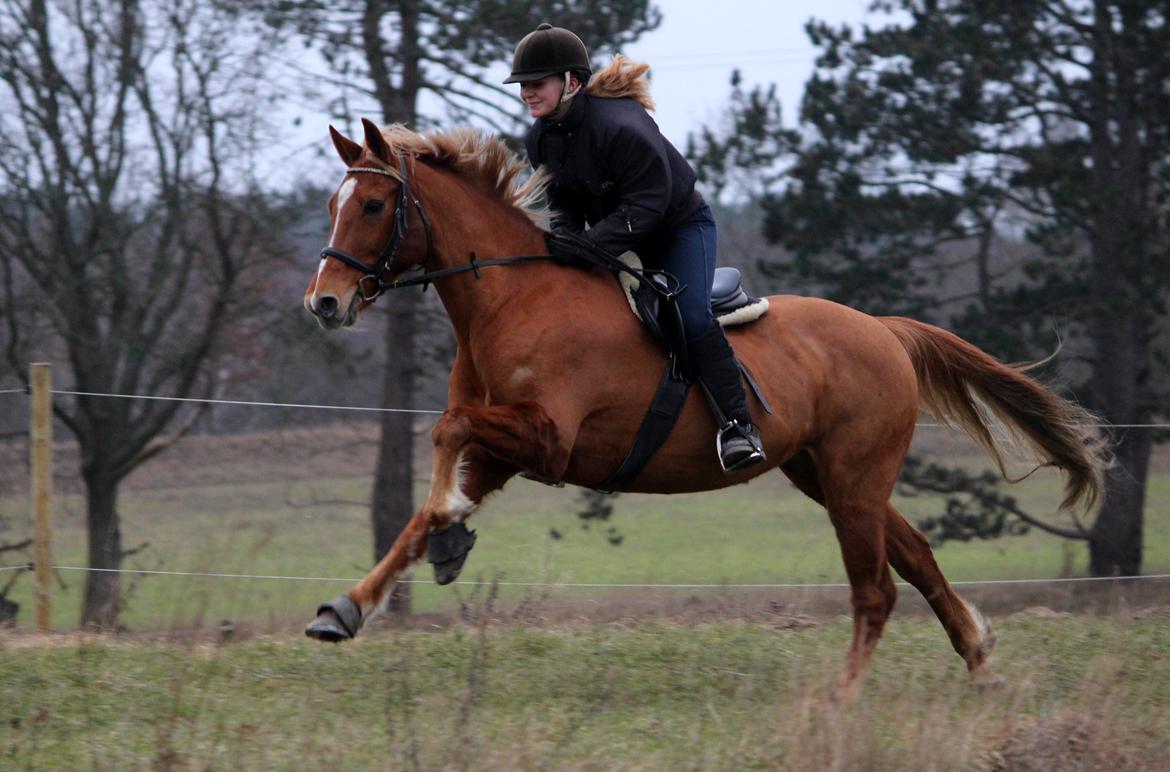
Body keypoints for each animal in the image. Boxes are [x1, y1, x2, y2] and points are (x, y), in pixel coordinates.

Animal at [299, 117, 1104, 697]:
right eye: (332, 205)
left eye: (373, 204)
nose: (324, 303)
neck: (510, 297)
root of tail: (885, 330)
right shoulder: (507, 450)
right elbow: (420, 511)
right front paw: (352, 604)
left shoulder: (549, 440)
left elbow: (446, 433)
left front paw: (449, 525)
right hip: (827, 475)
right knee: (915, 557)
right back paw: (979, 659)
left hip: (853, 477)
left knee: (875, 589)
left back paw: (840, 698)